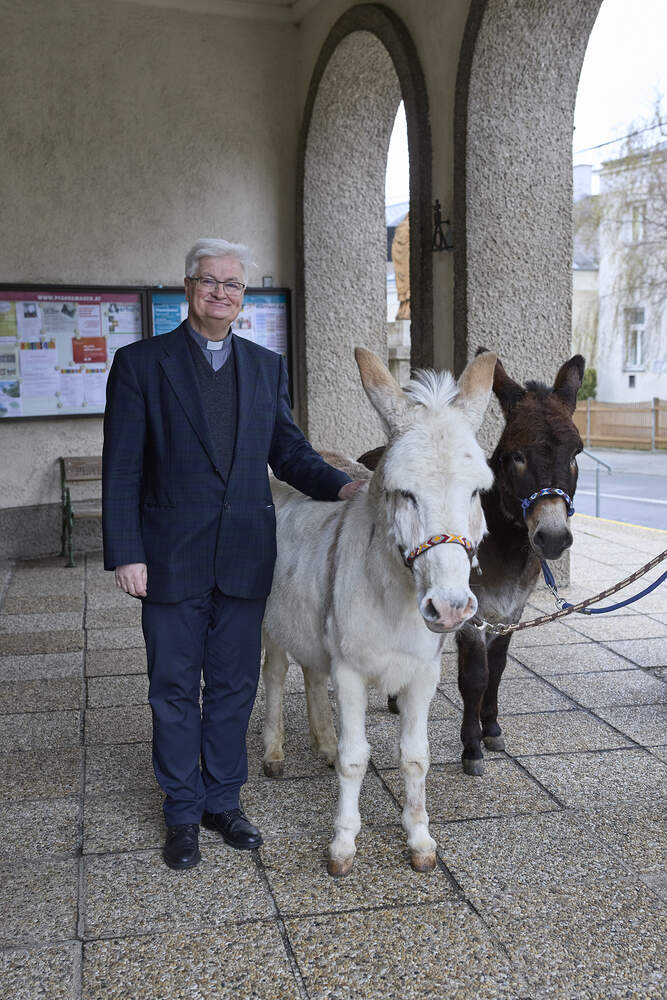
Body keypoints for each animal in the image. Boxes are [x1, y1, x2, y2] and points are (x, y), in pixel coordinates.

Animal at [261, 348, 496, 876]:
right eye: (404, 493)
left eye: (476, 492)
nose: (451, 608)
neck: (397, 598)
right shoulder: (350, 672)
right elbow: (357, 759)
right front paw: (343, 846)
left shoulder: (423, 674)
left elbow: (415, 757)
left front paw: (420, 840)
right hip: (268, 623)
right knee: (274, 674)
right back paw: (274, 753)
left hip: (312, 625)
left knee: (311, 673)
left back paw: (323, 745)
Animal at [361, 351, 585, 775]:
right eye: (516, 455)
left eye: (576, 453)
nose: (552, 538)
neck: (507, 546)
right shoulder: (470, 616)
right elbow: (475, 677)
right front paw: (472, 748)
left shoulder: (511, 611)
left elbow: (497, 669)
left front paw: (492, 728)